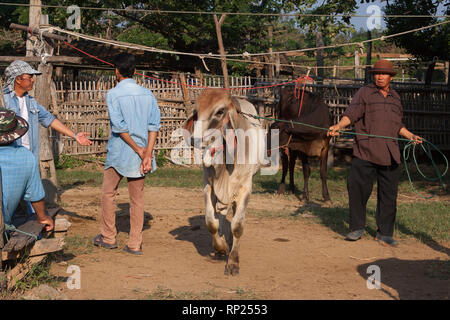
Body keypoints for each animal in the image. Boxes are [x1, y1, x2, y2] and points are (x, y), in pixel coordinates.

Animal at [183, 88, 262, 276]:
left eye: (219, 111)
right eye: (196, 111)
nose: (195, 139)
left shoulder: (245, 188)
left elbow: (238, 226)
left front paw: (233, 262)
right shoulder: (208, 186)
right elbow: (211, 223)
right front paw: (221, 248)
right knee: (222, 215)